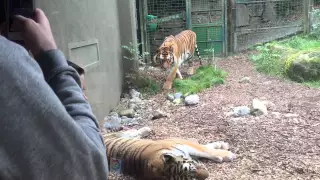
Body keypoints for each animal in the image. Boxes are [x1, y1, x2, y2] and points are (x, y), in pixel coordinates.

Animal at [102, 127, 235, 179]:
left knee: (131, 132)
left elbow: (205, 149)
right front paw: (222, 152)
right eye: (190, 177)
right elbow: (204, 150)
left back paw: (146, 129)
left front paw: (226, 153)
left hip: (121, 135)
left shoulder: (180, 142)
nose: (207, 175)